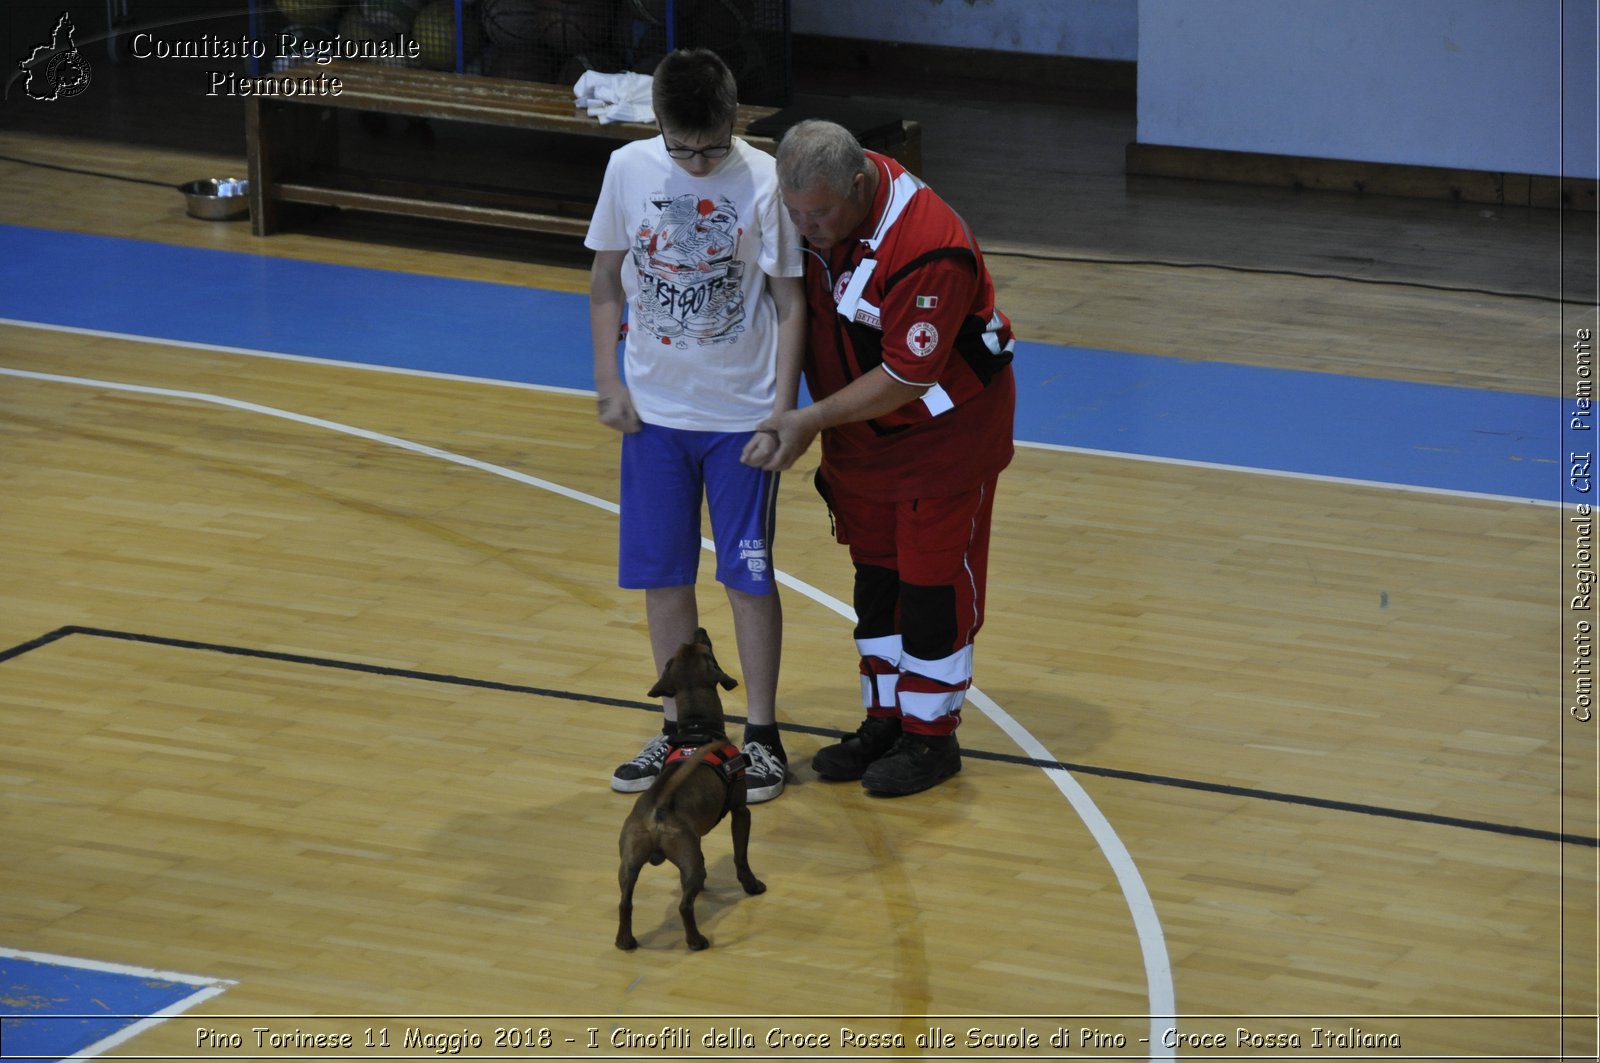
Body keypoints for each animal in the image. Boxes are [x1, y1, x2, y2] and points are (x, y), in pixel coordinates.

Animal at [614, 627, 764, 947]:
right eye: (704, 646)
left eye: (688, 646)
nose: (699, 629)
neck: (698, 727)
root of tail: (658, 810)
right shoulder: (741, 811)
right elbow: (741, 856)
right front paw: (751, 885)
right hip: (689, 860)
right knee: (684, 906)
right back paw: (696, 941)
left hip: (629, 863)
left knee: (625, 902)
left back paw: (625, 941)